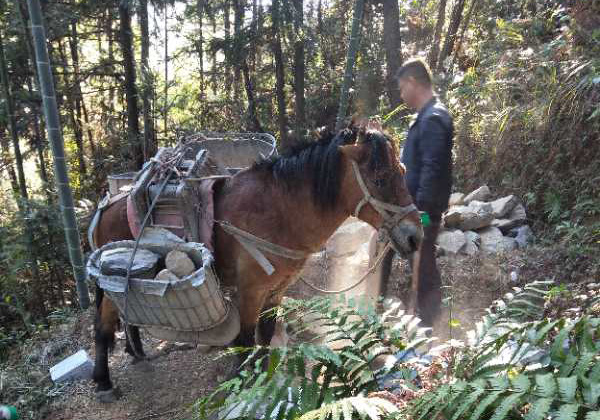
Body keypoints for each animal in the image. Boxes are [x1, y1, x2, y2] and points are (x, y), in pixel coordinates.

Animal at [92, 125, 422, 400]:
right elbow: (245, 340)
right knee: (102, 326)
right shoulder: (249, 291)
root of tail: (106, 206)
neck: (279, 213)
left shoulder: (275, 291)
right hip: (111, 281)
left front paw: (265, 377)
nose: (415, 237)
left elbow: (264, 337)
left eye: (403, 170)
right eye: (380, 179)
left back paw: (135, 351)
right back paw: (104, 381)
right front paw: (241, 383)